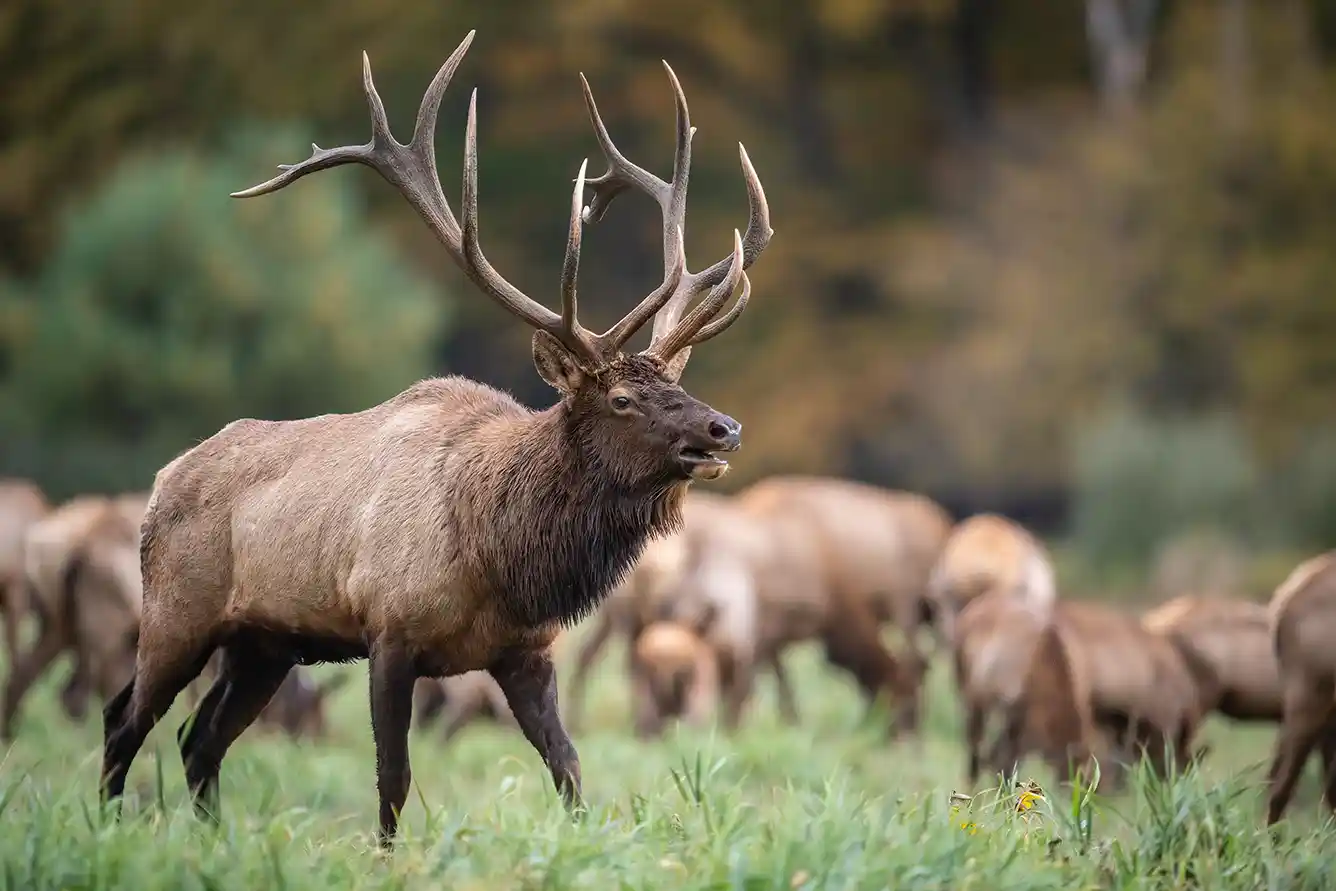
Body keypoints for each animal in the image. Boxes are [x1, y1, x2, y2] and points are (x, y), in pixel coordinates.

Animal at [100, 30, 771, 847]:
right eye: (620, 398)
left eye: (676, 381)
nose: (723, 427)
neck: (496, 550)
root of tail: (162, 481)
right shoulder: (388, 632)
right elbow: (393, 778)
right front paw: (389, 858)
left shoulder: (526, 651)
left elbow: (570, 767)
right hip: (177, 609)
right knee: (124, 720)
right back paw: (104, 828)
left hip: (262, 642)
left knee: (198, 738)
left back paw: (209, 837)